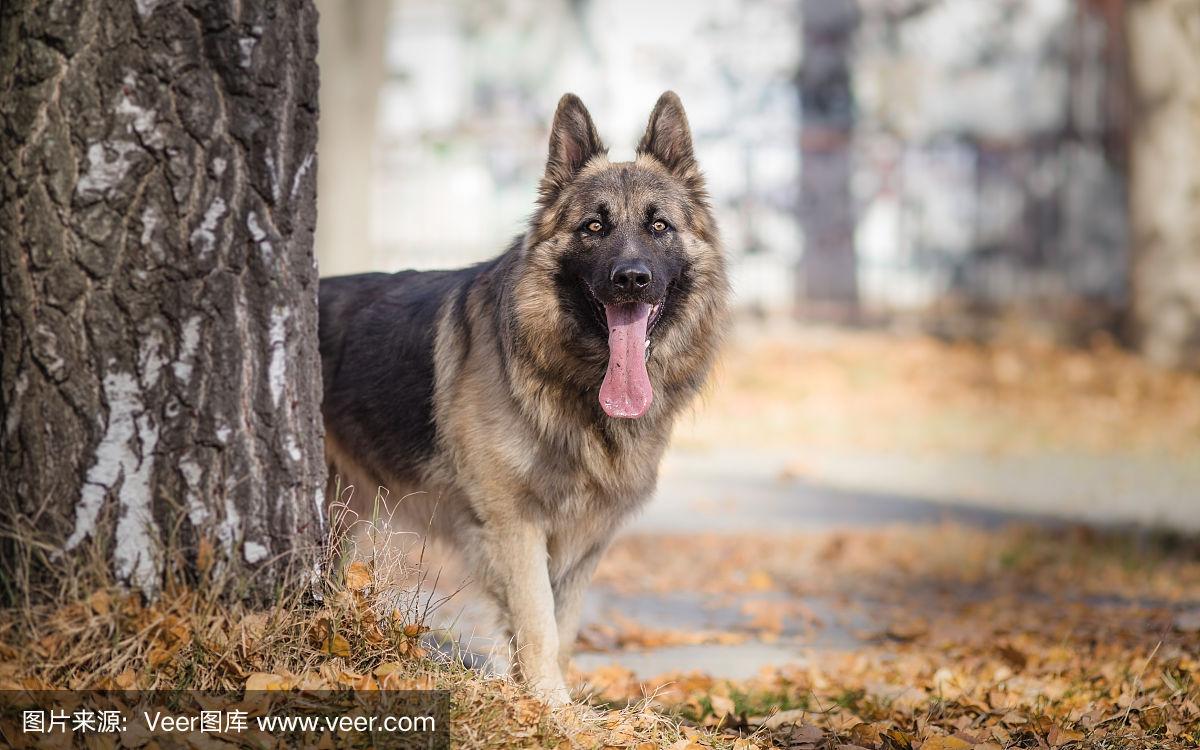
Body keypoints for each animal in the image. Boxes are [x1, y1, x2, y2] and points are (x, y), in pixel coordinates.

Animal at [319, 92, 724, 700]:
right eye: (594, 226)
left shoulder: (585, 540)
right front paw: (552, 707)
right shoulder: (515, 526)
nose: (632, 279)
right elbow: (538, 626)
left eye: (659, 226)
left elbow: (564, 628)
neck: (571, 383)